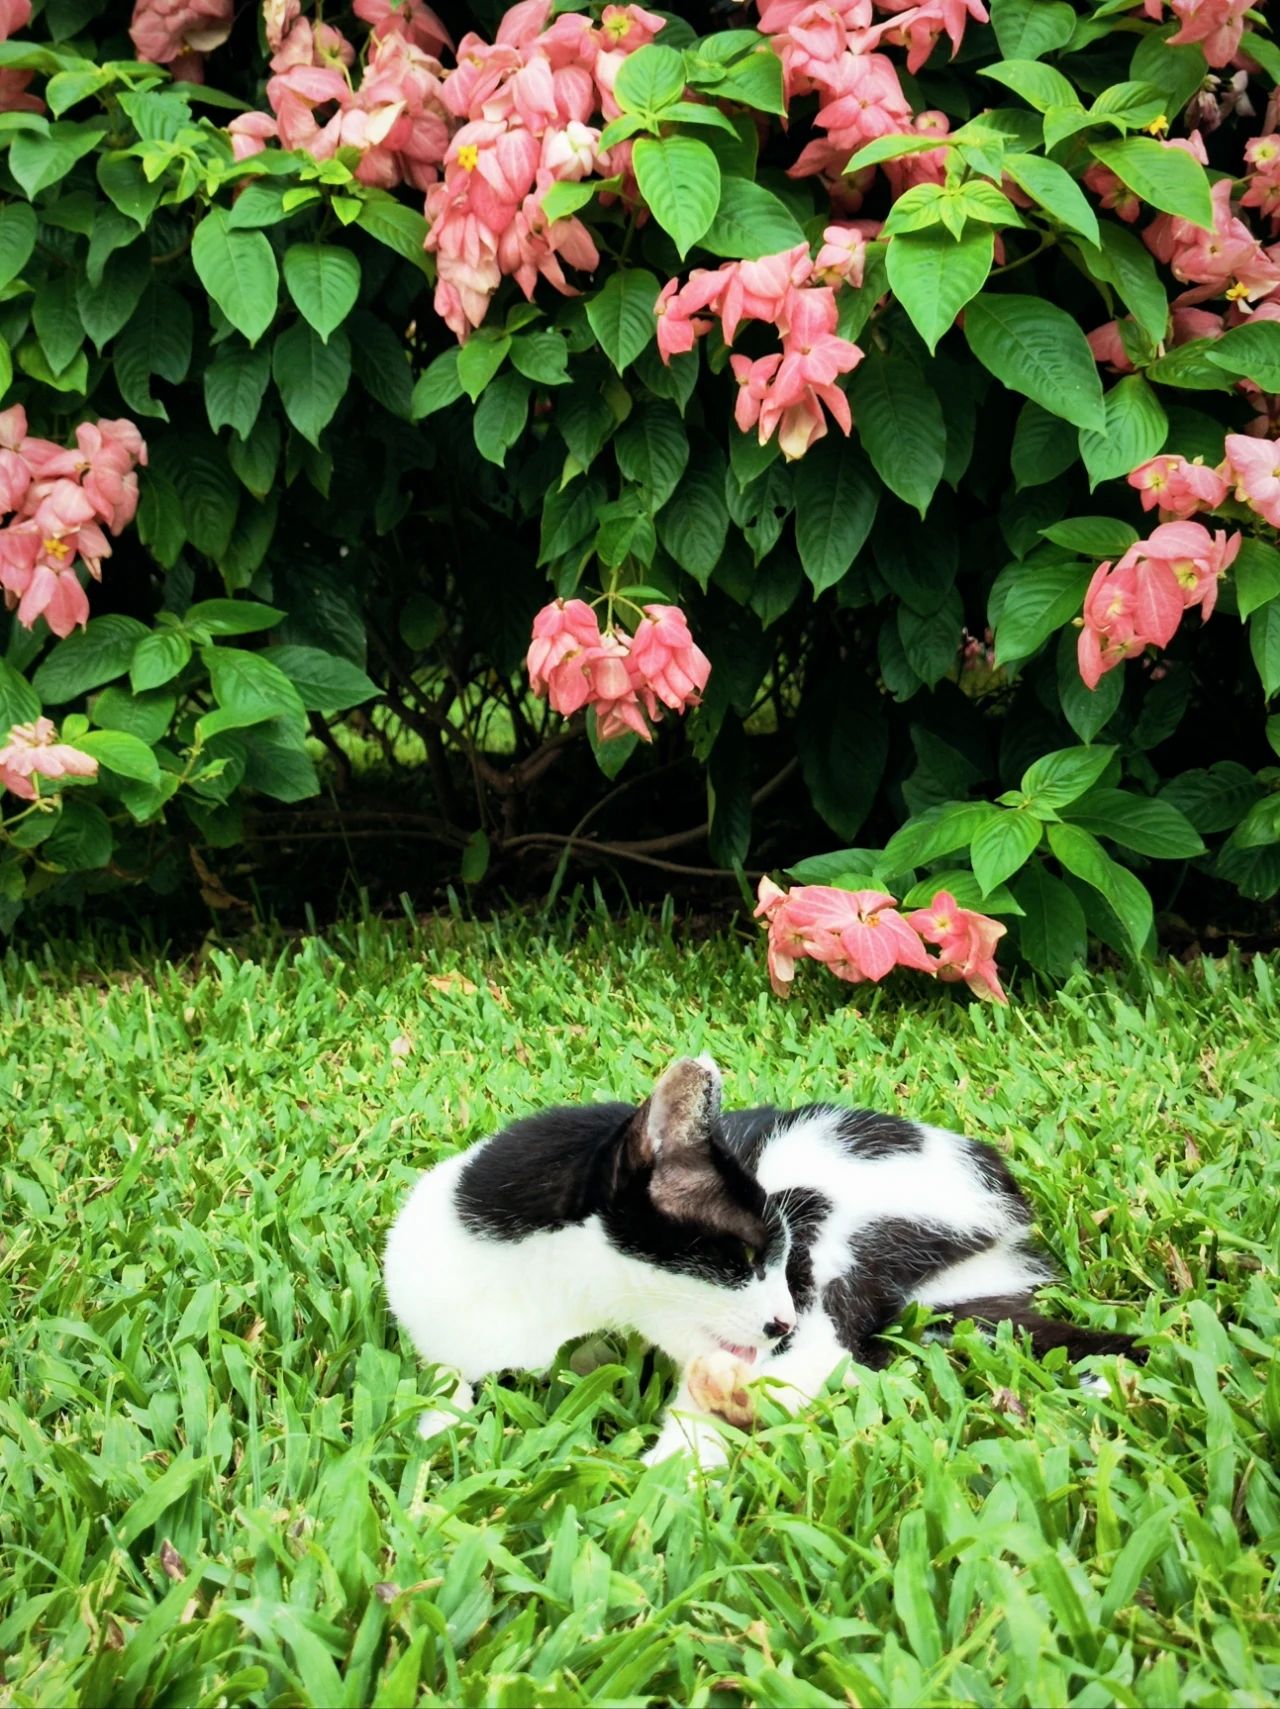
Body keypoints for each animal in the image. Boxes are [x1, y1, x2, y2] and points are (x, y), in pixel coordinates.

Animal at [382, 1045, 1141, 1462]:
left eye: (777, 1259)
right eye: (745, 1257)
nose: (779, 1319)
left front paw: (677, 1465)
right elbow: (443, 1385)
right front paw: (437, 1426)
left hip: (837, 1201)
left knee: (832, 1340)